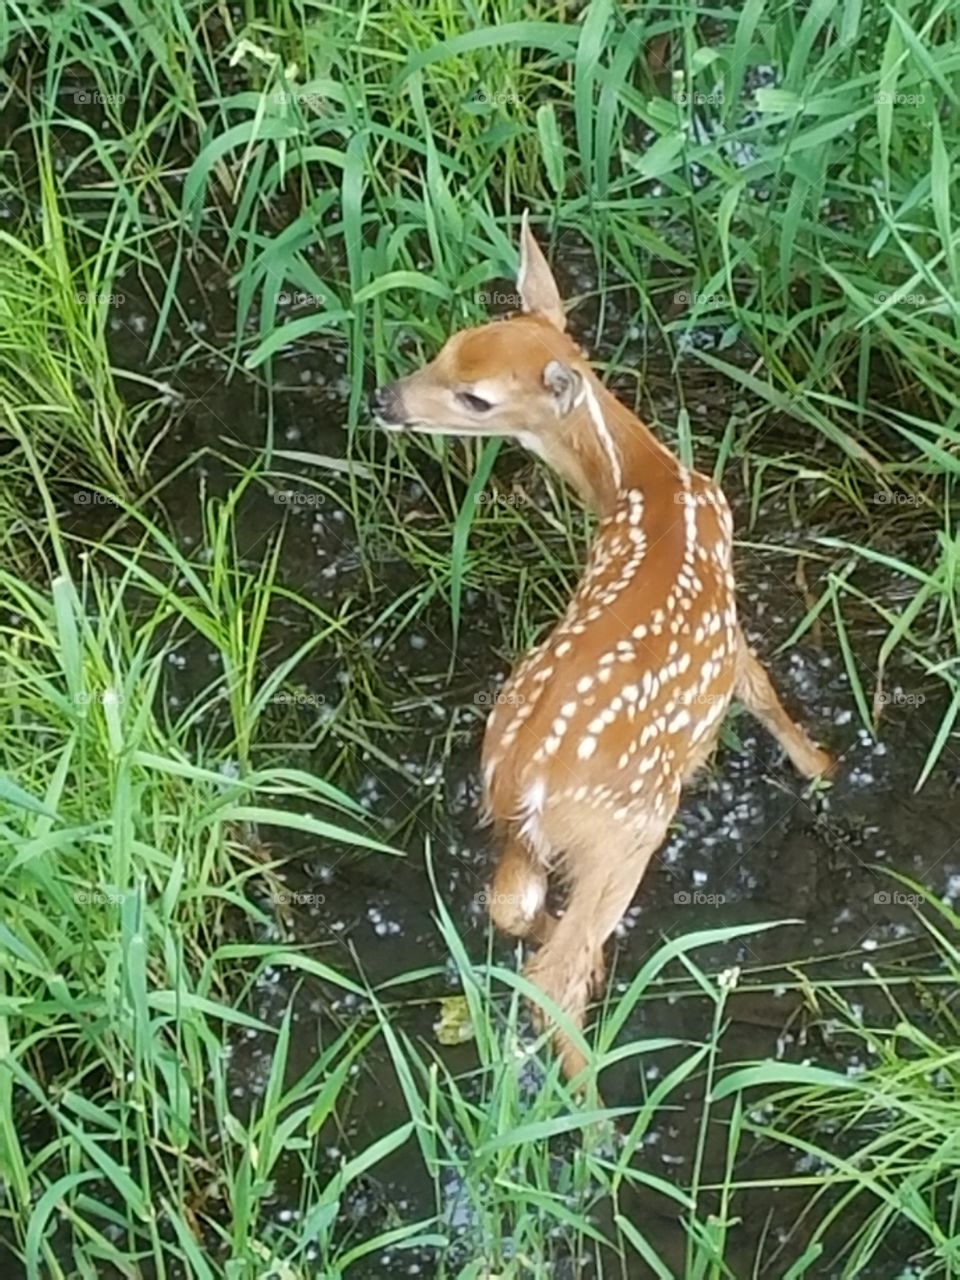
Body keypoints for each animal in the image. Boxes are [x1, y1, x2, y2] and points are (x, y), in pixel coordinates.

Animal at [371, 213, 832, 1084]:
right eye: (448, 353)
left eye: (468, 372)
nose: (385, 400)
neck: (645, 484)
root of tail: (522, 784)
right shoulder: (727, 626)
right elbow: (763, 695)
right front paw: (824, 769)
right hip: (627, 829)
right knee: (555, 972)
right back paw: (595, 1107)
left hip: (525, 833)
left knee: (513, 911)